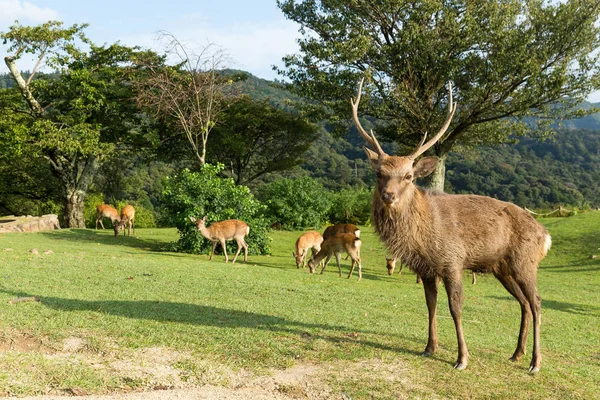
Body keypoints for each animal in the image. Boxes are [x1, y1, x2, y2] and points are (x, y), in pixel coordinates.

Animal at [352, 79, 552, 376]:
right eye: (379, 173)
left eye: (409, 176)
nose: (389, 196)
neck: (421, 237)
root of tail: (545, 234)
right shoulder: (425, 268)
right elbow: (430, 304)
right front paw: (429, 347)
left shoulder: (452, 261)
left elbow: (455, 308)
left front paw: (462, 358)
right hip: (502, 268)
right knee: (524, 303)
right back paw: (516, 354)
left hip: (525, 261)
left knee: (537, 302)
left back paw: (535, 363)